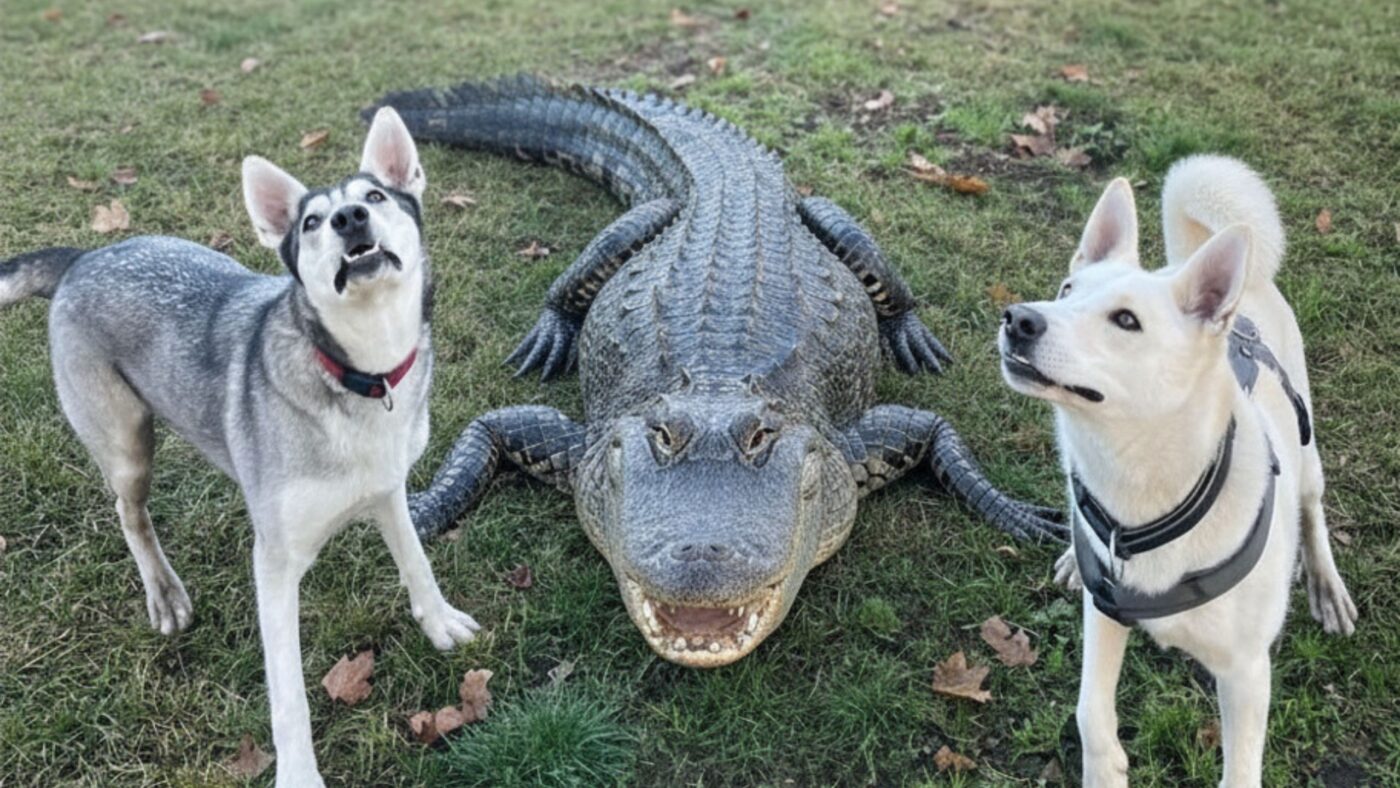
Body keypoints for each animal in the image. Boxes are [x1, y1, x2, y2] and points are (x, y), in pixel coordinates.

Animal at [0, 107, 478, 787]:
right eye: (310, 222)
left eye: (375, 197)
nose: (348, 219)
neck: (358, 374)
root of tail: (85, 257)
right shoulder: (275, 565)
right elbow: (289, 694)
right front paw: (300, 776)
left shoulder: (388, 488)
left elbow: (417, 560)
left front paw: (439, 621)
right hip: (127, 445)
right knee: (130, 515)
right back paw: (164, 592)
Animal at [997, 155, 1357, 787]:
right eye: (1066, 290)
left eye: (1125, 320)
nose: (1018, 319)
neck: (1144, 490)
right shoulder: (1105, 612)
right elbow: (1090, 713)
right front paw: (1107, 770)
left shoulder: (1246, 675)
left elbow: (1240, 771)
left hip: (1307, 449)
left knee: (1313, 510)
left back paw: (1325, 584)